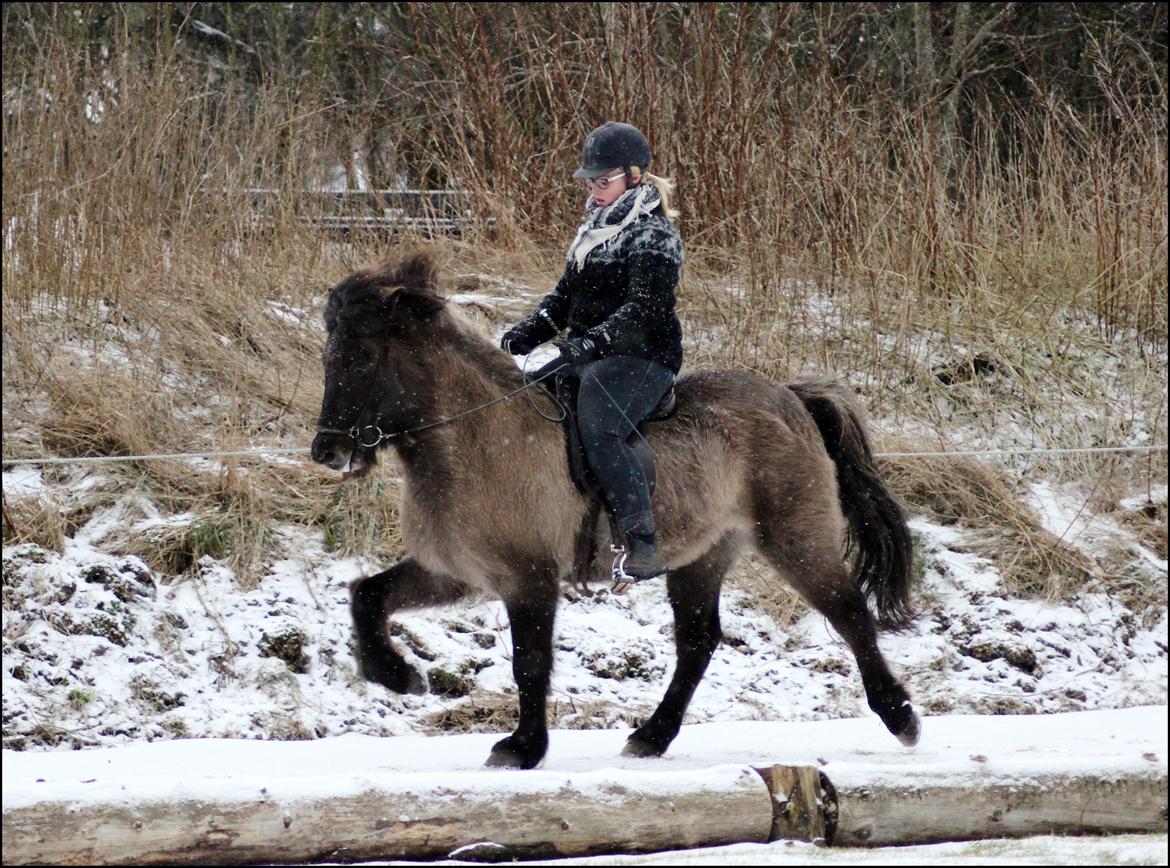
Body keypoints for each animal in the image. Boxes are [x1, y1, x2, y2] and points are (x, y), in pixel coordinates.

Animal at [311, 251, 921, 767]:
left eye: (361, 361)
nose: (327, 452)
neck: (472, 439)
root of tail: (791, 397)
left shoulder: (529, 579)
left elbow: (530, 663)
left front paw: (523, 748)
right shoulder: (456, 572)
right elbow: (367, 595)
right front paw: (396, 675)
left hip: (795, 538)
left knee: (849, 614)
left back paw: (901, 718)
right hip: (701, 556)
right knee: (698, 642)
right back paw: (651, 736)